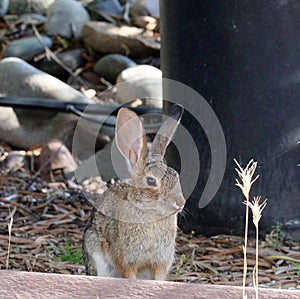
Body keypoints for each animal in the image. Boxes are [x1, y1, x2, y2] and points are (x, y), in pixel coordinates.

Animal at [82, 103, 185, 282]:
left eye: (176, 176)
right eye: (151, 181)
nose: (180, 203)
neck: (150, 212)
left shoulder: (160, 262)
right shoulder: (125, 260)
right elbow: (130, 277)